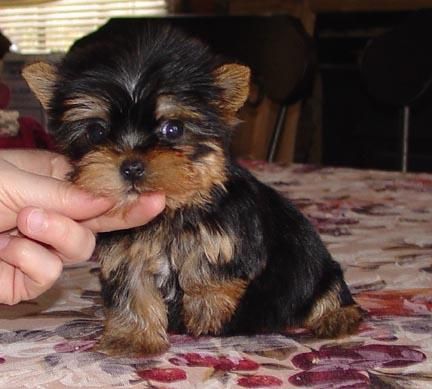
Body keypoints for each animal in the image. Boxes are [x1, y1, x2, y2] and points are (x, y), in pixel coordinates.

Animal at [22, 24, 362, 354]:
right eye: (96, 131)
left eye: (173, 129)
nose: (131, 166)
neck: (169, 212)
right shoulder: (125, 255)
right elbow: (132, 289)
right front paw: (133, 337)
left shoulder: (232, 235)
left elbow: (206, 263)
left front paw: (205, 310)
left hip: (314, 265)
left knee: (327, 289)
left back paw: (337, 317)